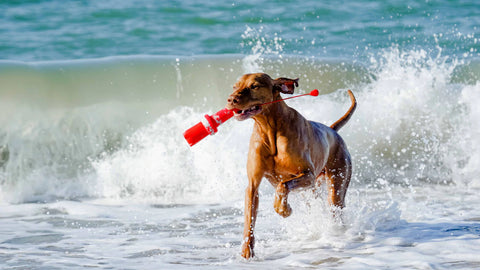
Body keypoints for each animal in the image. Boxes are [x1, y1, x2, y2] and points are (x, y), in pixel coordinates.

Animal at [225, 73, 356, 258]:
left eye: (254, 86)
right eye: (235, 86)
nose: (231, 99)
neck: (269, 129)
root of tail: (332, 131)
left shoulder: (308, 175)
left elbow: (282, 185)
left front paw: (284, 210)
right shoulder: (252, 186)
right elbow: (249, 218)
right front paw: (246, 250)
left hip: (337, 182)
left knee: (334, 205)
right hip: (310, 192)